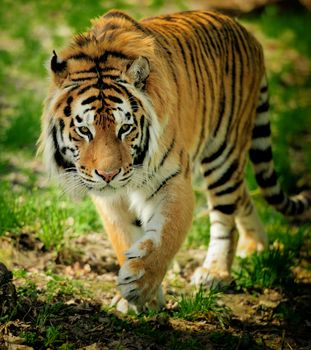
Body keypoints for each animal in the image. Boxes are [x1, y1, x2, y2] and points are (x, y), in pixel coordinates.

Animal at [39, 9, 311, 314]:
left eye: (125, 128)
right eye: (84, 130)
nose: (108, 175)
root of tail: (248, 33)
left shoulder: (173, 182)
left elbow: (165, 237)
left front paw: (139, 285)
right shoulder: (109, 199)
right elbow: (124, 237)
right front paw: (135, 299)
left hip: (224, 154)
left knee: (225, 217)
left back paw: (215, 272)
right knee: (243, 196)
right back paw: (255, 246)